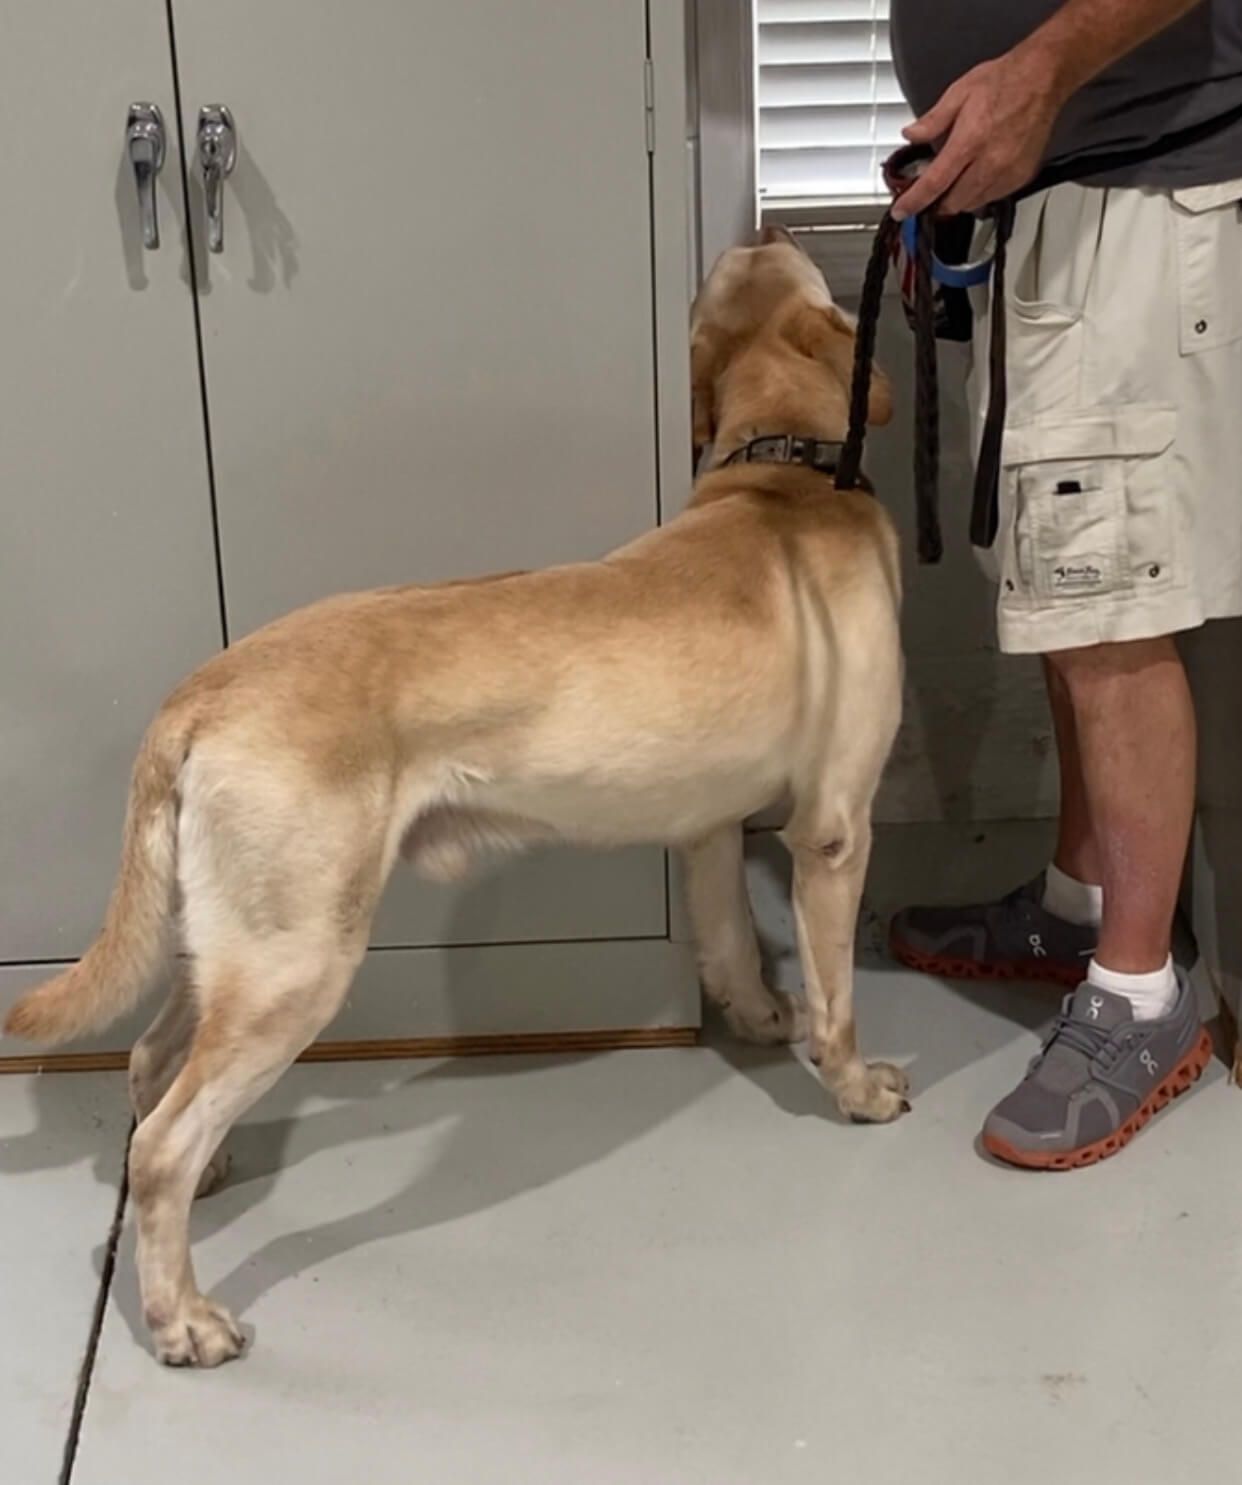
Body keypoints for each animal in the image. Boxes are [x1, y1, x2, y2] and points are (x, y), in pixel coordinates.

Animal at [4, 231, 909, 1366]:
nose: (762, 230)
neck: (780, 474)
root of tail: (197, 691)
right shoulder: (834, 828)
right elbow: (838, 1001)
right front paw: (857, 1088)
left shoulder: (705, 826)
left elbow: (733, 943)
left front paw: (754, 1016)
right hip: (300, 961)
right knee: (161, 1140)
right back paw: (184, 1318)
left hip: (235, 947)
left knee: (148, 1060)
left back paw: (206, 1189)